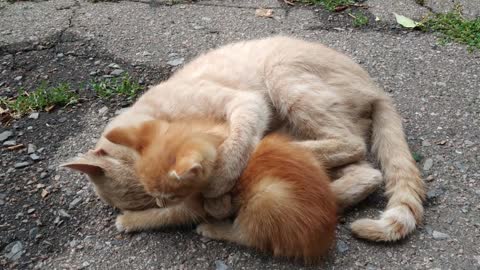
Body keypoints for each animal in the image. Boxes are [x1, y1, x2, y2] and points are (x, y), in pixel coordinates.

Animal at [62, 35, 424, 240]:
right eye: (157, 200)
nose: (174, 200)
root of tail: (375, 88)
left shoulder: (246, 104)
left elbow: (233, 151)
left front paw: (218, 188)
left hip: (283, 75)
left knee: (353, 147)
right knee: (365, 171)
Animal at [106, 119, 338, 262]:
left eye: (171, 196)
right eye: (151, 192)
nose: (159, 201)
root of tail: (321, 238)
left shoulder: (194, 206)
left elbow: (165, 216)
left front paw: (131, 219)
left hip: (267, 198)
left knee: (248, 236)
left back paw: (214, 228)